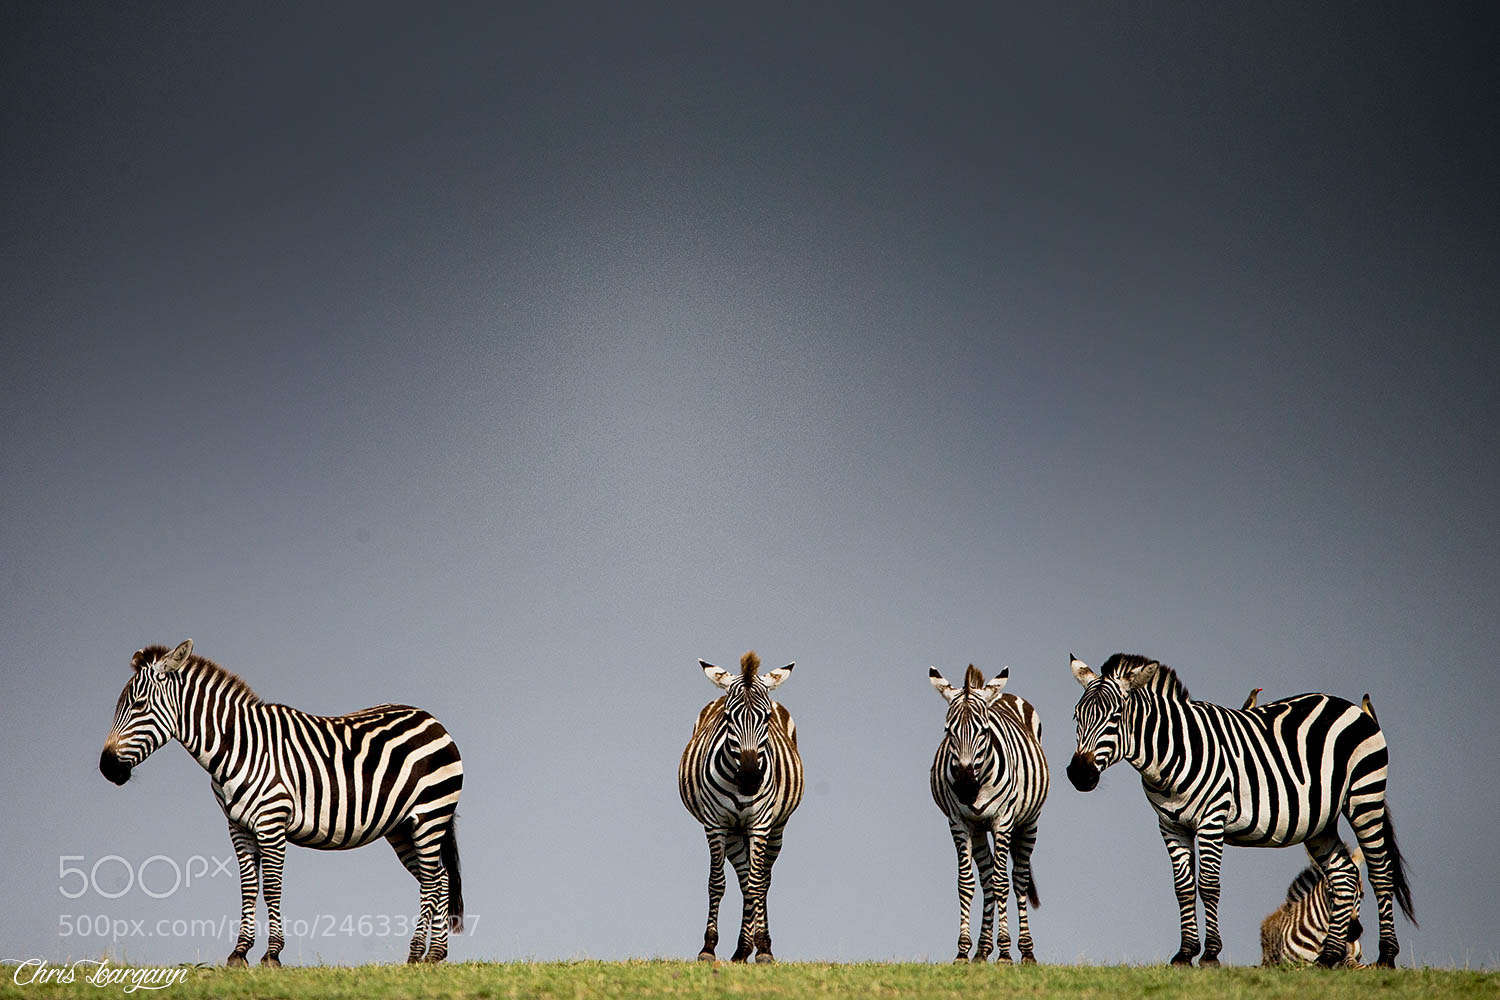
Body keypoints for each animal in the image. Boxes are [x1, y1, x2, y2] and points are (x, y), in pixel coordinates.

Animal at [99, 639, 464, 966]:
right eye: (119, 706)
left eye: (139, 705)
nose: (106, 768)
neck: (237, 748)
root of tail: (430, 718)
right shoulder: (238, 827)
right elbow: (248, 887)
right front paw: (239, 953)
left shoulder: (271, 822)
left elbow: (272, 887)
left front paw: (272, 954)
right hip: (401, 828)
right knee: (440, 879)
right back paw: (435, 955)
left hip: (430, 816)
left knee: (432, 881)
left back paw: (417, 954)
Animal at [678, 651, 803, 963]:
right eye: (727, 717)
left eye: (766, 717)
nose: (748, 778)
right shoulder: (715, 823)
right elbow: (717, 882)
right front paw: (708, 947)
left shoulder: (761, 823)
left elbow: (758, 883)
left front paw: (764, 949)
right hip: (735, 832)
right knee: (744, 877)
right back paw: (741, 950)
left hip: (776, 828)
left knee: (762, 879)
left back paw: (757, 945)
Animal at [928, 664, 1049, 964]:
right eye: (948, 730)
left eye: (983, 731)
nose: (964, 786)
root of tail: (1002, 694)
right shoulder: (958, 822)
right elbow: (967, 883)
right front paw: (963, 950)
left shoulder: (1002, 821)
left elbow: (1002, 881)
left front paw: (1005, 952)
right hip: (979, 830)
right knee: (986, 881)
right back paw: (982, 950)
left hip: (1029, 822)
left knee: (1018, 878)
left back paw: (1026, 951)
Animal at [1066, 652, 1415, 968]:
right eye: (1076, 716)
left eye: (1116, 716)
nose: (1079, 774)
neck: (1170, 757)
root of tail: (1349, 705)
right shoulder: (1171, 825)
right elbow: (1183, 888)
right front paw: (1184, 954)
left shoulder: (1212, 818)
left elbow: (1208, 885)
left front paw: (1210, 955)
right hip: (1319, 822)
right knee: (1343, 875)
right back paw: (1328, 958)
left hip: (1364, 798)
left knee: (1381, 873)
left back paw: (1386, 957)